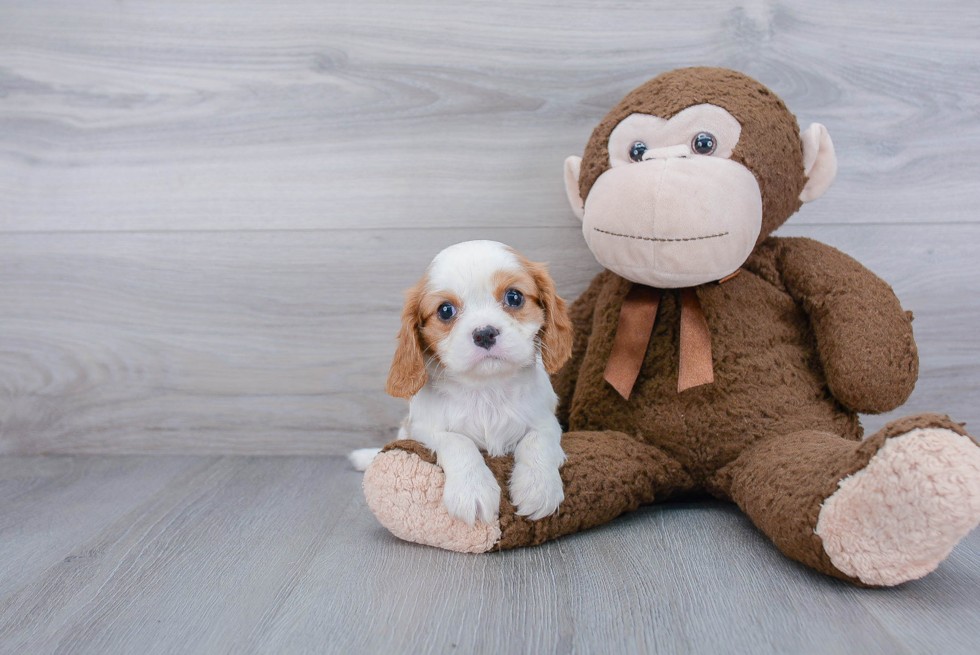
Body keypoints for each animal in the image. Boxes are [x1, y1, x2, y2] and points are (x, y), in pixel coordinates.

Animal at [348, 240, 576, 524]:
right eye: (445, 310)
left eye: (514, 297)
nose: (484, 333)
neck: (487, 388)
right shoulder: (424, 429)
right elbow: (458, 441)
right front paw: (472, 490)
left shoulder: (546, 419)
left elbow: (538, 440)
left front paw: (539, 487)